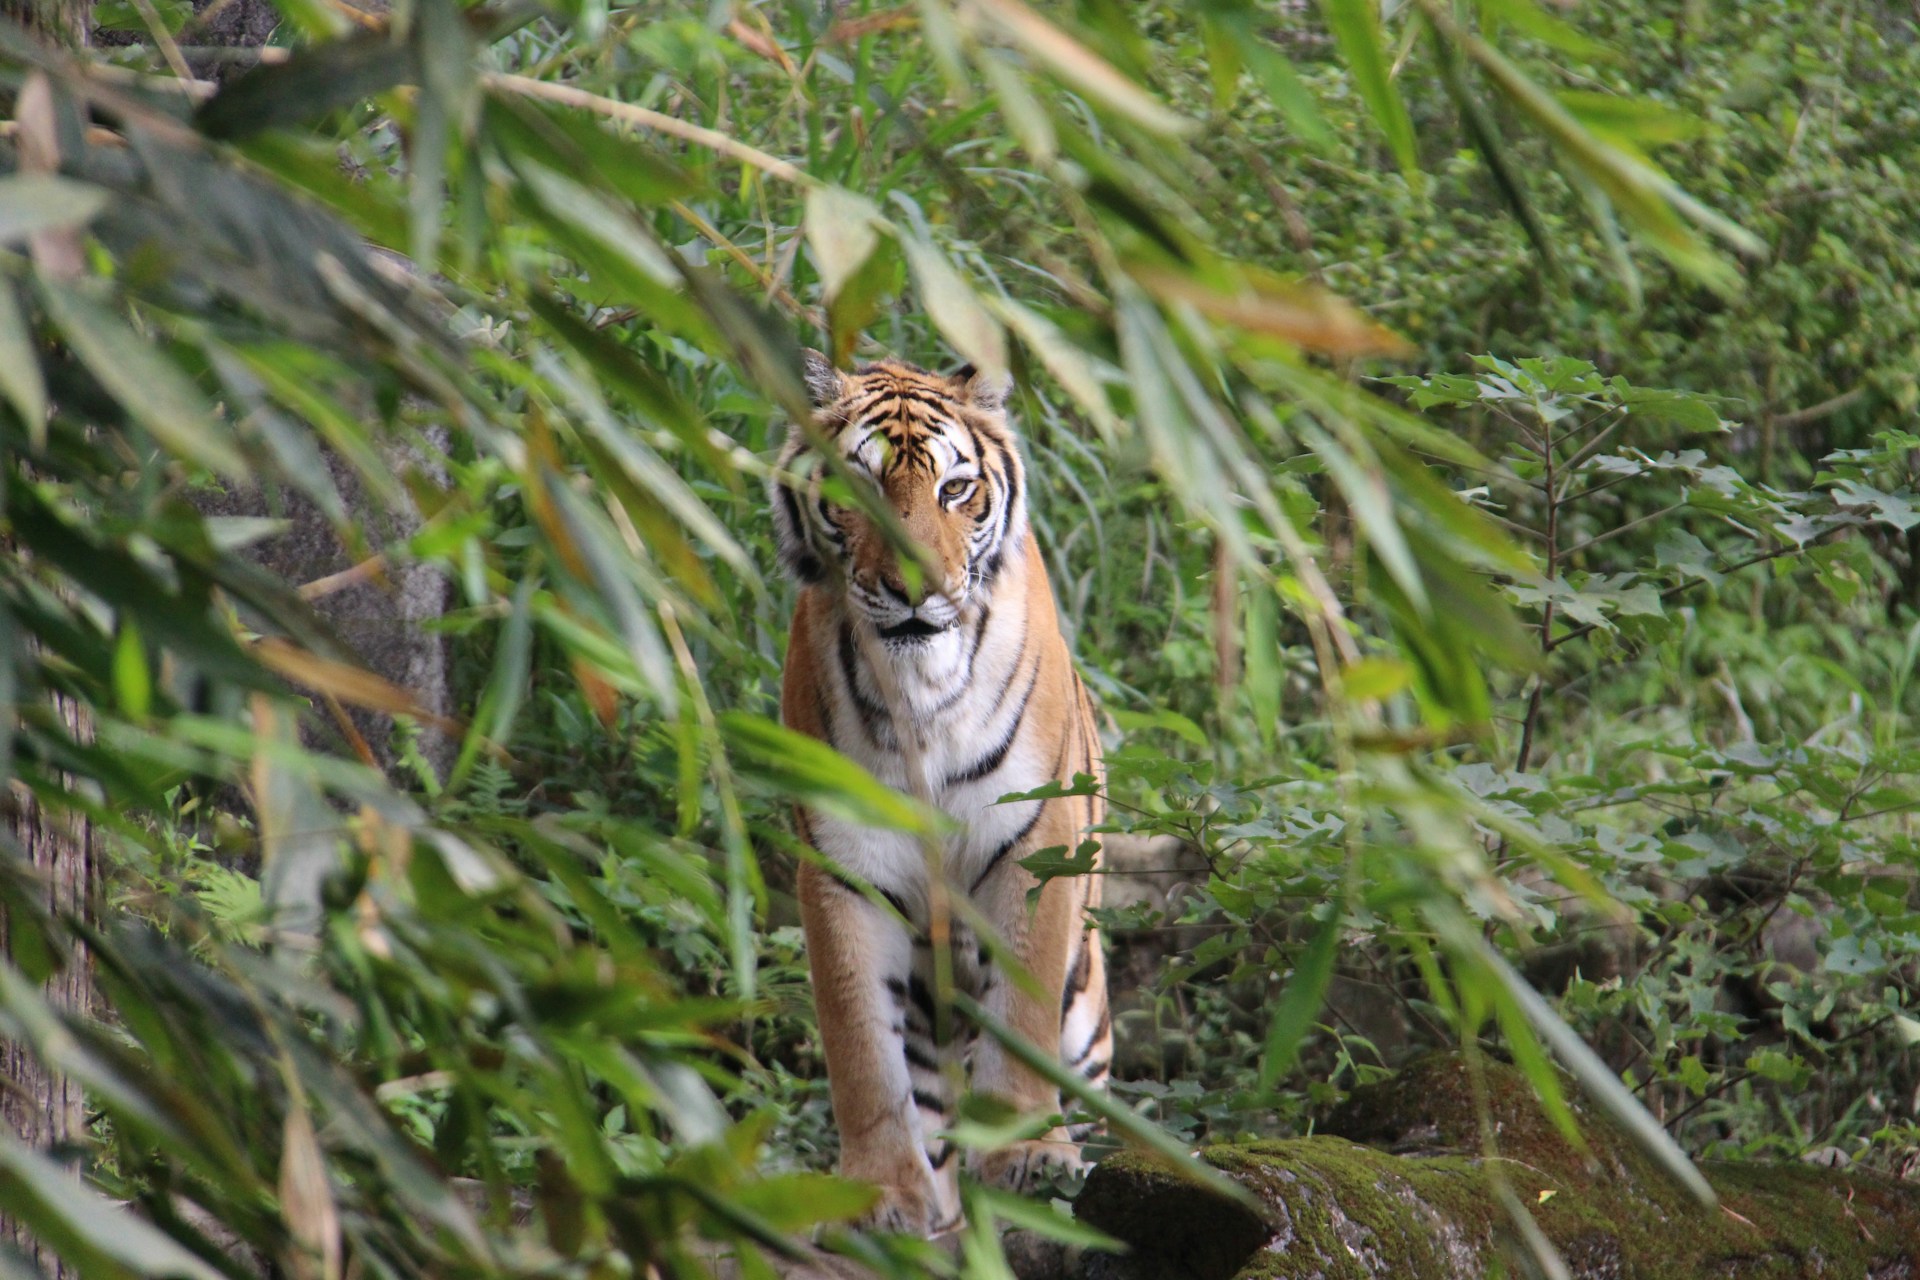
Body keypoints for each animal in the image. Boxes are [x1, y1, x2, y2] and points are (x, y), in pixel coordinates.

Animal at [772, 350, 1110, 1237]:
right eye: (856, 487)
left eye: (956, 489)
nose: (915, 588)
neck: (918, 684)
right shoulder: (844, 863)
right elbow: (861, 1047)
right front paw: (879, 1193)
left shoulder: (1034, 840)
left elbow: (1021, 1006)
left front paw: (1030, 1154)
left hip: (1088, 1009)